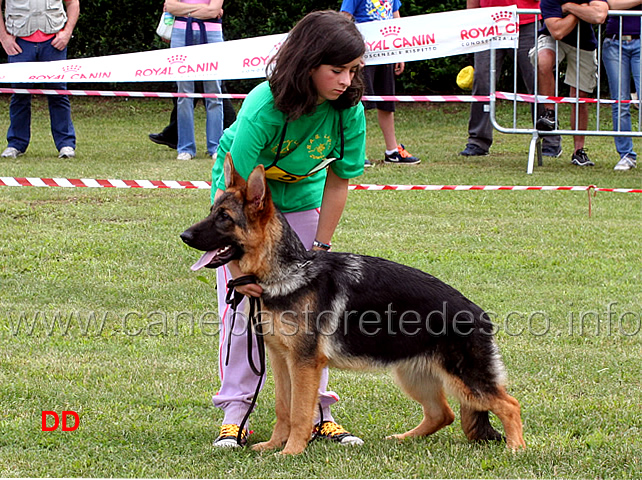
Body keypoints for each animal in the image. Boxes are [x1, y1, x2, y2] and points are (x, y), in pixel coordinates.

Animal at [181, 154, 524, 454]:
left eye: (224, 218)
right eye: (212, 211)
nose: (184, 235)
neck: (289, 271)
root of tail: (479, 314)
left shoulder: (304, 365)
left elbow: (301, 412)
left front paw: (291, 451)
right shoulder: (281, 360)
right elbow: (283, 408)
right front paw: (273, 445)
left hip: (465, 379)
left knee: (509, 405)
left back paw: (515, 448)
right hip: (414, 376)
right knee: (443, 414)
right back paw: (404, 438)